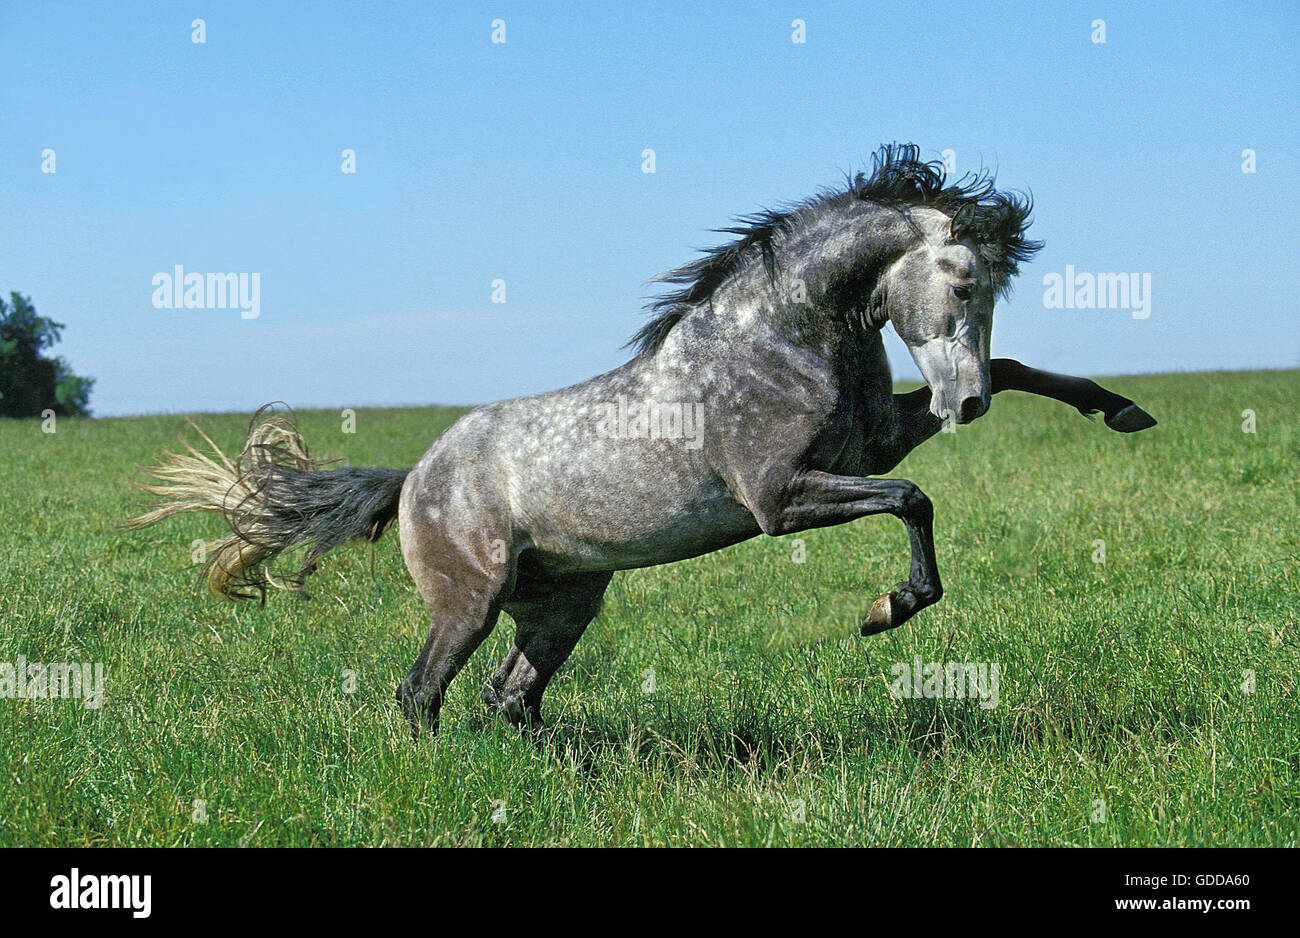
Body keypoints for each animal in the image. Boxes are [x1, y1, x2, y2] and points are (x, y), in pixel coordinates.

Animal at [126, 142, 1154, 732]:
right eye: (964, 281)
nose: (961, 405)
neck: (779, 339)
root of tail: (414, 476)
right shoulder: (781, 497)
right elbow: (915, 499)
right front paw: (886, 609)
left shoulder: (867, 445)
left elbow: (1011, 379)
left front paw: (1119, 409)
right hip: (469, 601)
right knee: (423, 695)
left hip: (564, 603)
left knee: (510, 697)